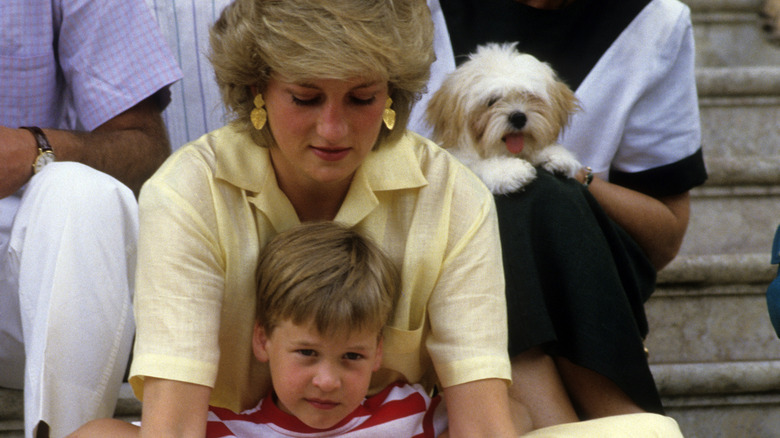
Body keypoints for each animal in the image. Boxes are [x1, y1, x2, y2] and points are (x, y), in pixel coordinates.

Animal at [424, 42, 580, 193]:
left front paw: (555, 155)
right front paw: (509, 172)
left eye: (529, 96)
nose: (518, 117)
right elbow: (477, 166)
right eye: (492, 101)